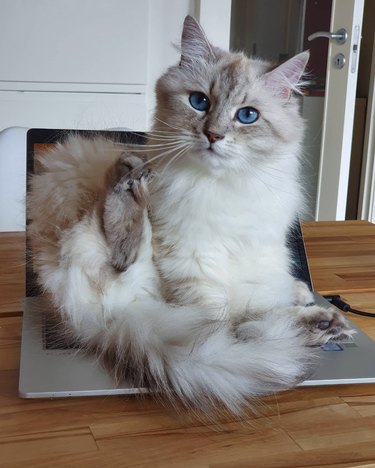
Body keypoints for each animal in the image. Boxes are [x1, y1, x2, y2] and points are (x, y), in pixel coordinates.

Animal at [27, 16, 354, 414]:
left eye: (247, 116)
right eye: (199, 102)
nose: (213, 135)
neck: (226, 186)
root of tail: (94, 322)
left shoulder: (257, 253)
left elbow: (258, 301)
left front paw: (301, 298)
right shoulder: (192, 263)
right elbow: (227, 323)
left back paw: (322, 322)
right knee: (123, 255)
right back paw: (129, 179)